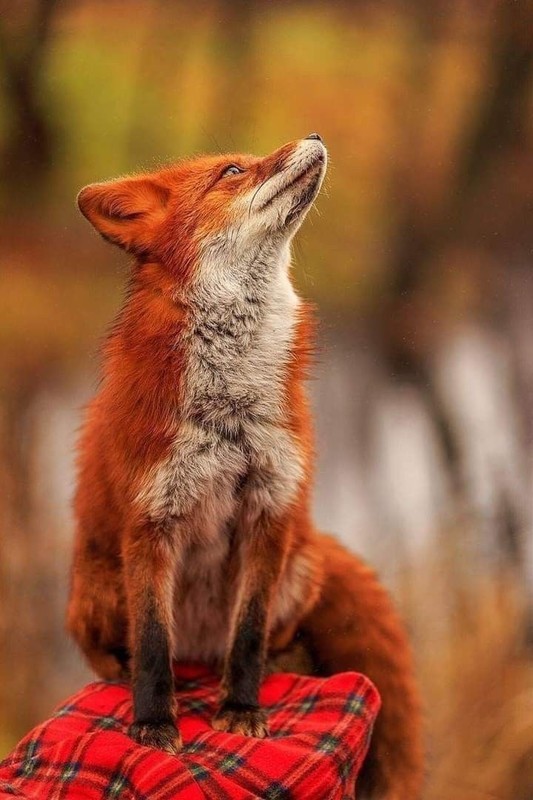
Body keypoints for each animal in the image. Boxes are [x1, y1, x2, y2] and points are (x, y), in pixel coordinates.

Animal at [67, 134, 424, 798]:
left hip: (300, 566)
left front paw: (241, 708)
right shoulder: (150, 523)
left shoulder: (269, 510)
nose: (315, 137)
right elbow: (152, 645)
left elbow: (250, 636)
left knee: (268, 643)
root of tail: (200, 655)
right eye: (232, 170)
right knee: (122, 657)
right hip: (99, 588)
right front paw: (154, 723)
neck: (229, 414)